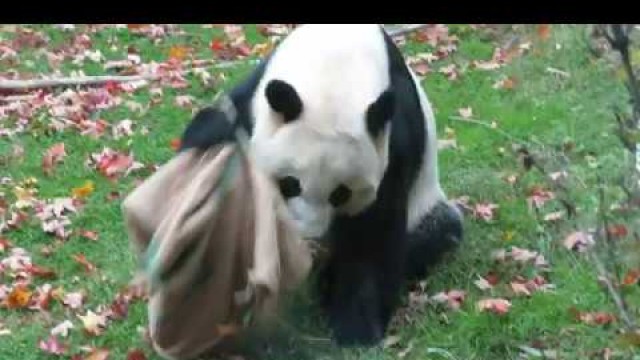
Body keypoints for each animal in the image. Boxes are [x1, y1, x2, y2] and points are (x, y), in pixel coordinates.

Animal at [180, 23, 464, 348]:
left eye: (341, 194)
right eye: (289, 184)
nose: (309, 236)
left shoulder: (393, 141)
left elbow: (372, 234)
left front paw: (356, 330)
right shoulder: (251, 104)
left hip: (426, 206)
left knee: (437, 232)